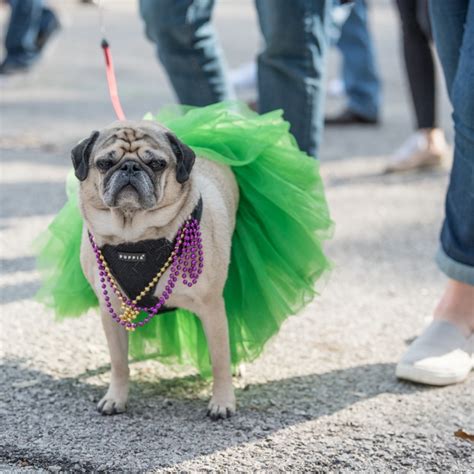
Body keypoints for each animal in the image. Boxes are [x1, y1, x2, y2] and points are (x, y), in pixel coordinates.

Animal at [72, 121, 239, 418]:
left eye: (157, 164)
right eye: (105, 163)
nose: (129, 167)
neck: (135, 237)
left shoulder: (211, 308)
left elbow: (220, 359)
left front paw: (222, 401)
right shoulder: (111, 310)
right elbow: (119, 362)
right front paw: (116, 397)